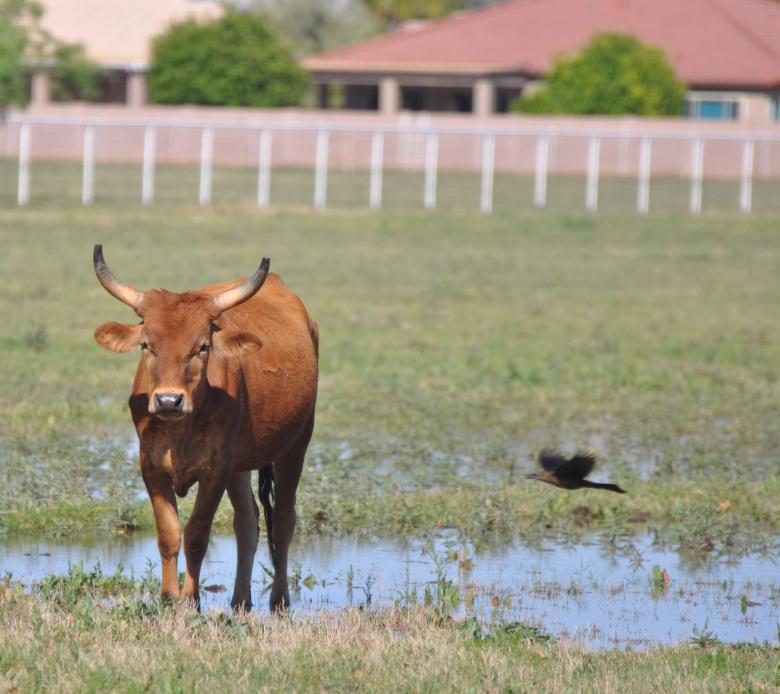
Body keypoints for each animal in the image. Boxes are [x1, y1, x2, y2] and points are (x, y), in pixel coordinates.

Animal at [93, 246, 318, 616]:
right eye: (146, 345)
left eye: (202, 346)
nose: (168, 400)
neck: (180, 430)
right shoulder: (150, 465)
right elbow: (168, 533)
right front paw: (168, 597)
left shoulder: (216, 469)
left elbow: (196, 533)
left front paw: (191, 600)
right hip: (240, 467)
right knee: (247, 523)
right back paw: (240, 600)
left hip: (295, 446)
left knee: (283, 520)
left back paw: (280, 600)